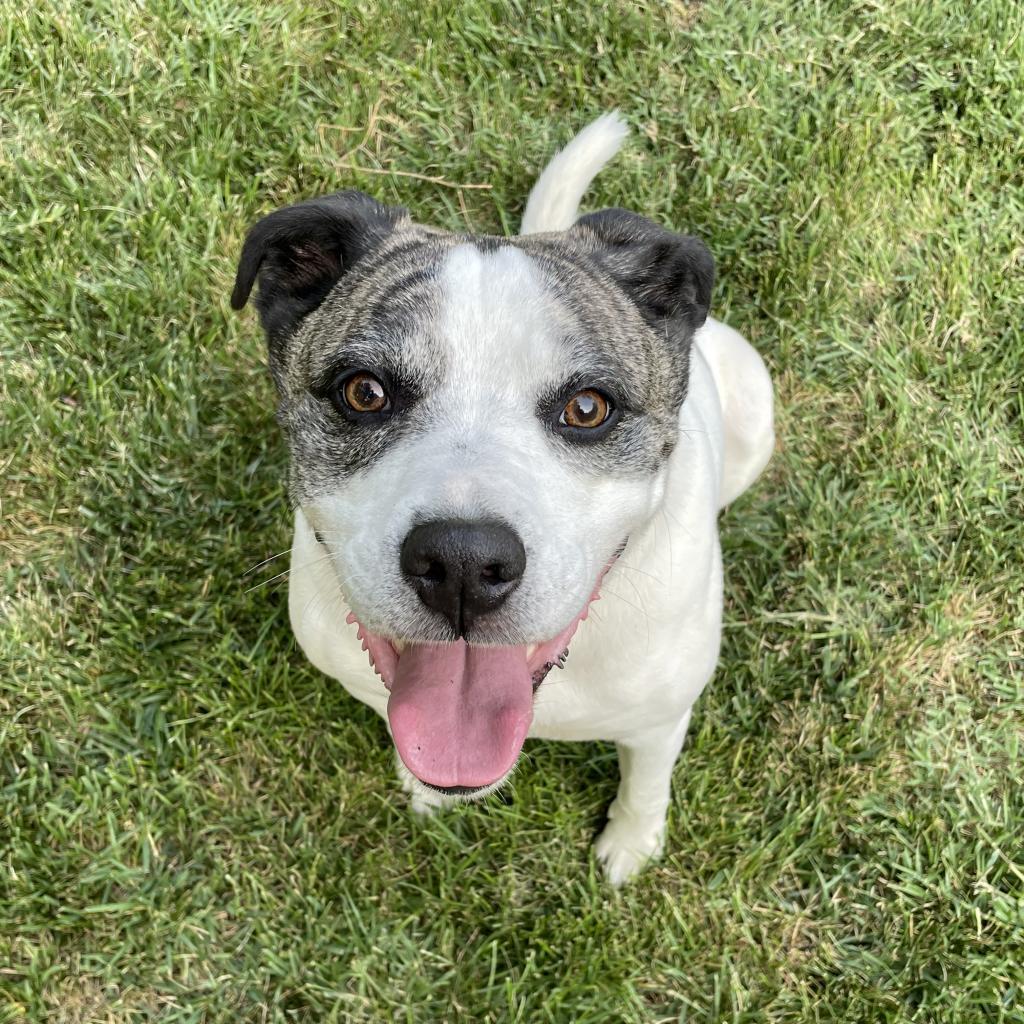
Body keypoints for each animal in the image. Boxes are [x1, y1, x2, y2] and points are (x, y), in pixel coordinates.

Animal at [232, 110, 770, 880]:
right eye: (363, 392)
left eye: (587, 407)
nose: (461, 563)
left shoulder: (659, 722)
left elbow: (646, 784)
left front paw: (631, 846)